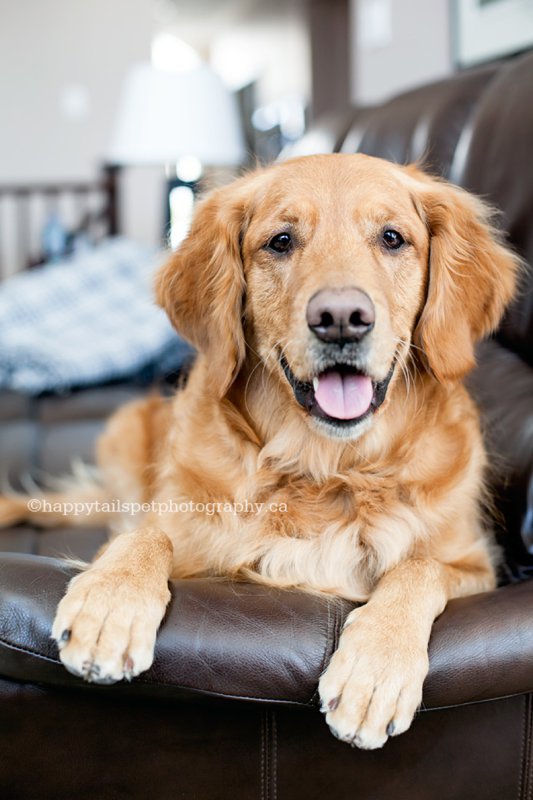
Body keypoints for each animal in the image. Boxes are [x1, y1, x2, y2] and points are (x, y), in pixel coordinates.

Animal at [0, 153, 516, 748]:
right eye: (281, 241)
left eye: (392, 238)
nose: (342, 318)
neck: (326, 470)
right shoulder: (185, 530)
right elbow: (148, 534)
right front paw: (110, 603)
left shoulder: (477, 565)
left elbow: (418, 568)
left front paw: (375, 669)